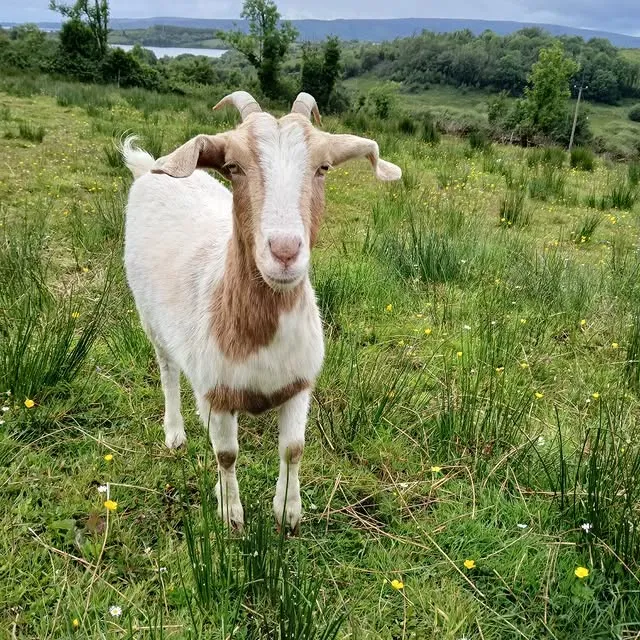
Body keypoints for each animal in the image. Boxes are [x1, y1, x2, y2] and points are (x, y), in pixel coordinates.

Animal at [121, 91, 401, 532]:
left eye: (323, 167)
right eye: (234, 167)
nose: (285, 251)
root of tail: (146, 168)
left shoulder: (299, 384)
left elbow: (293, 449)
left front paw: (288, 512)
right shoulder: (217, 391)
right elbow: (226, 455)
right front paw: (231, 514)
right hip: (150, 318)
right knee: (167, 373)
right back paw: (175, 434)